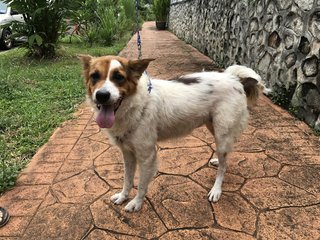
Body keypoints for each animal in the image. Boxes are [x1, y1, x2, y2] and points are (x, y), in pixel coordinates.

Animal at [79, 54, 266, 212]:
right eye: (95, 76)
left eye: (119, 77)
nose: (102, 95)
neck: (134, 106)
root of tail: (236, 79)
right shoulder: (127, 153)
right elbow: (128, 179)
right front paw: (123, 196)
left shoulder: (147, 155)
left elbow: (141, 184)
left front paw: (136, 203)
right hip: (213, 127)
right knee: (224, 157)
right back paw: (216, 161)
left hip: (222, 133)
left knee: (224, 166)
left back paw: (216, 189)